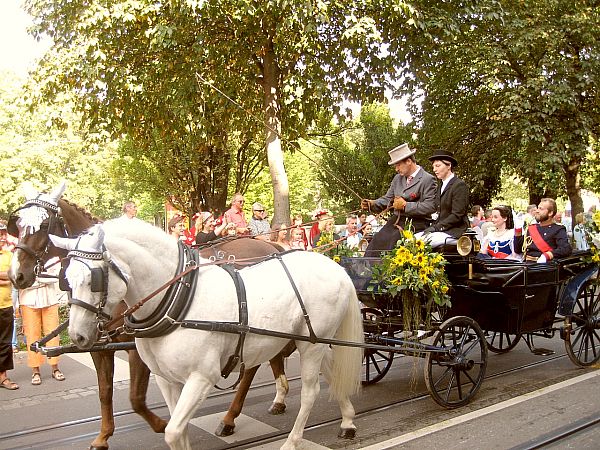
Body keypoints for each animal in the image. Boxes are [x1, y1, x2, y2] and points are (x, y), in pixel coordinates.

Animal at [6, 183, 290, 446]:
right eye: (17, 224)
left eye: (44, 224)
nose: (16, 275)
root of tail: (271, 245)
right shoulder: (99, 347)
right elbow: (104, 391)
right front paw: (103, 436)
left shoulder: (134, 350)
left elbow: (135, 398)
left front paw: (161, 424)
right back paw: (277, 398)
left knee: (252, 368)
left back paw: (231, 417)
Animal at [51, 220, 364, 448]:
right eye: (65, 279)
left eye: (94, 279)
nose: (77, 336)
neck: (179, 303)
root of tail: (333, 265)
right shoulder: (167, 380)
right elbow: (178, 430)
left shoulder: (201, 377)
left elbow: (172, 430)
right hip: (309, 340)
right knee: (331, 371)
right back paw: (348, 421)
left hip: (312, 344)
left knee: (310, 392)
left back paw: (291, 441)